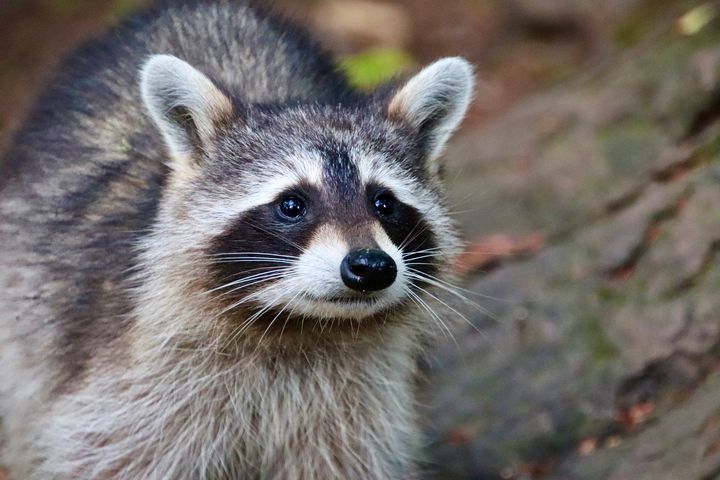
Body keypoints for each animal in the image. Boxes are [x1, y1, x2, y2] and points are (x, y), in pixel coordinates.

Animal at [0, 1, 472, 478]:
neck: (298, 326)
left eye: (384, 204)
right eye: (292, 205)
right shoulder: (137, 387)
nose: (371, 266)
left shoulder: (355, 406)